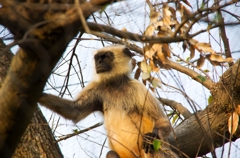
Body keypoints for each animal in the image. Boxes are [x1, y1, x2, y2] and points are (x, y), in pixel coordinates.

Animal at [38, 45, 177, 157]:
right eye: (97, 58)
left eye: (106, 56)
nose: (99, 62)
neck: (114, 85)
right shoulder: (97, 88)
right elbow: (75, 111)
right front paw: (39, 95)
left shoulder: (138, 88)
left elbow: (162, 120)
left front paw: (153, 135)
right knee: (111, 153)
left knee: (151, 146)